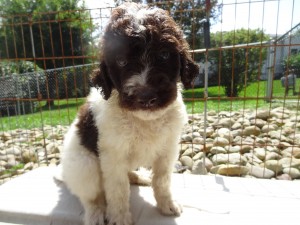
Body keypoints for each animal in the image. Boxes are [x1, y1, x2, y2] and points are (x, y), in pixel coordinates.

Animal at [61, 2, 198, 225]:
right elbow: (118, 190)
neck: (144, 120)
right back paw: (95, 213)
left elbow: (162, 179)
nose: (146, 97)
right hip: (84, 166)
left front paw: (166, 204)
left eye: (164, 55)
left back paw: (138, 177)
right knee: (91, 196)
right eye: (121, 61)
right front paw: (120, 218)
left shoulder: (168, 148)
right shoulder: (113, 155)